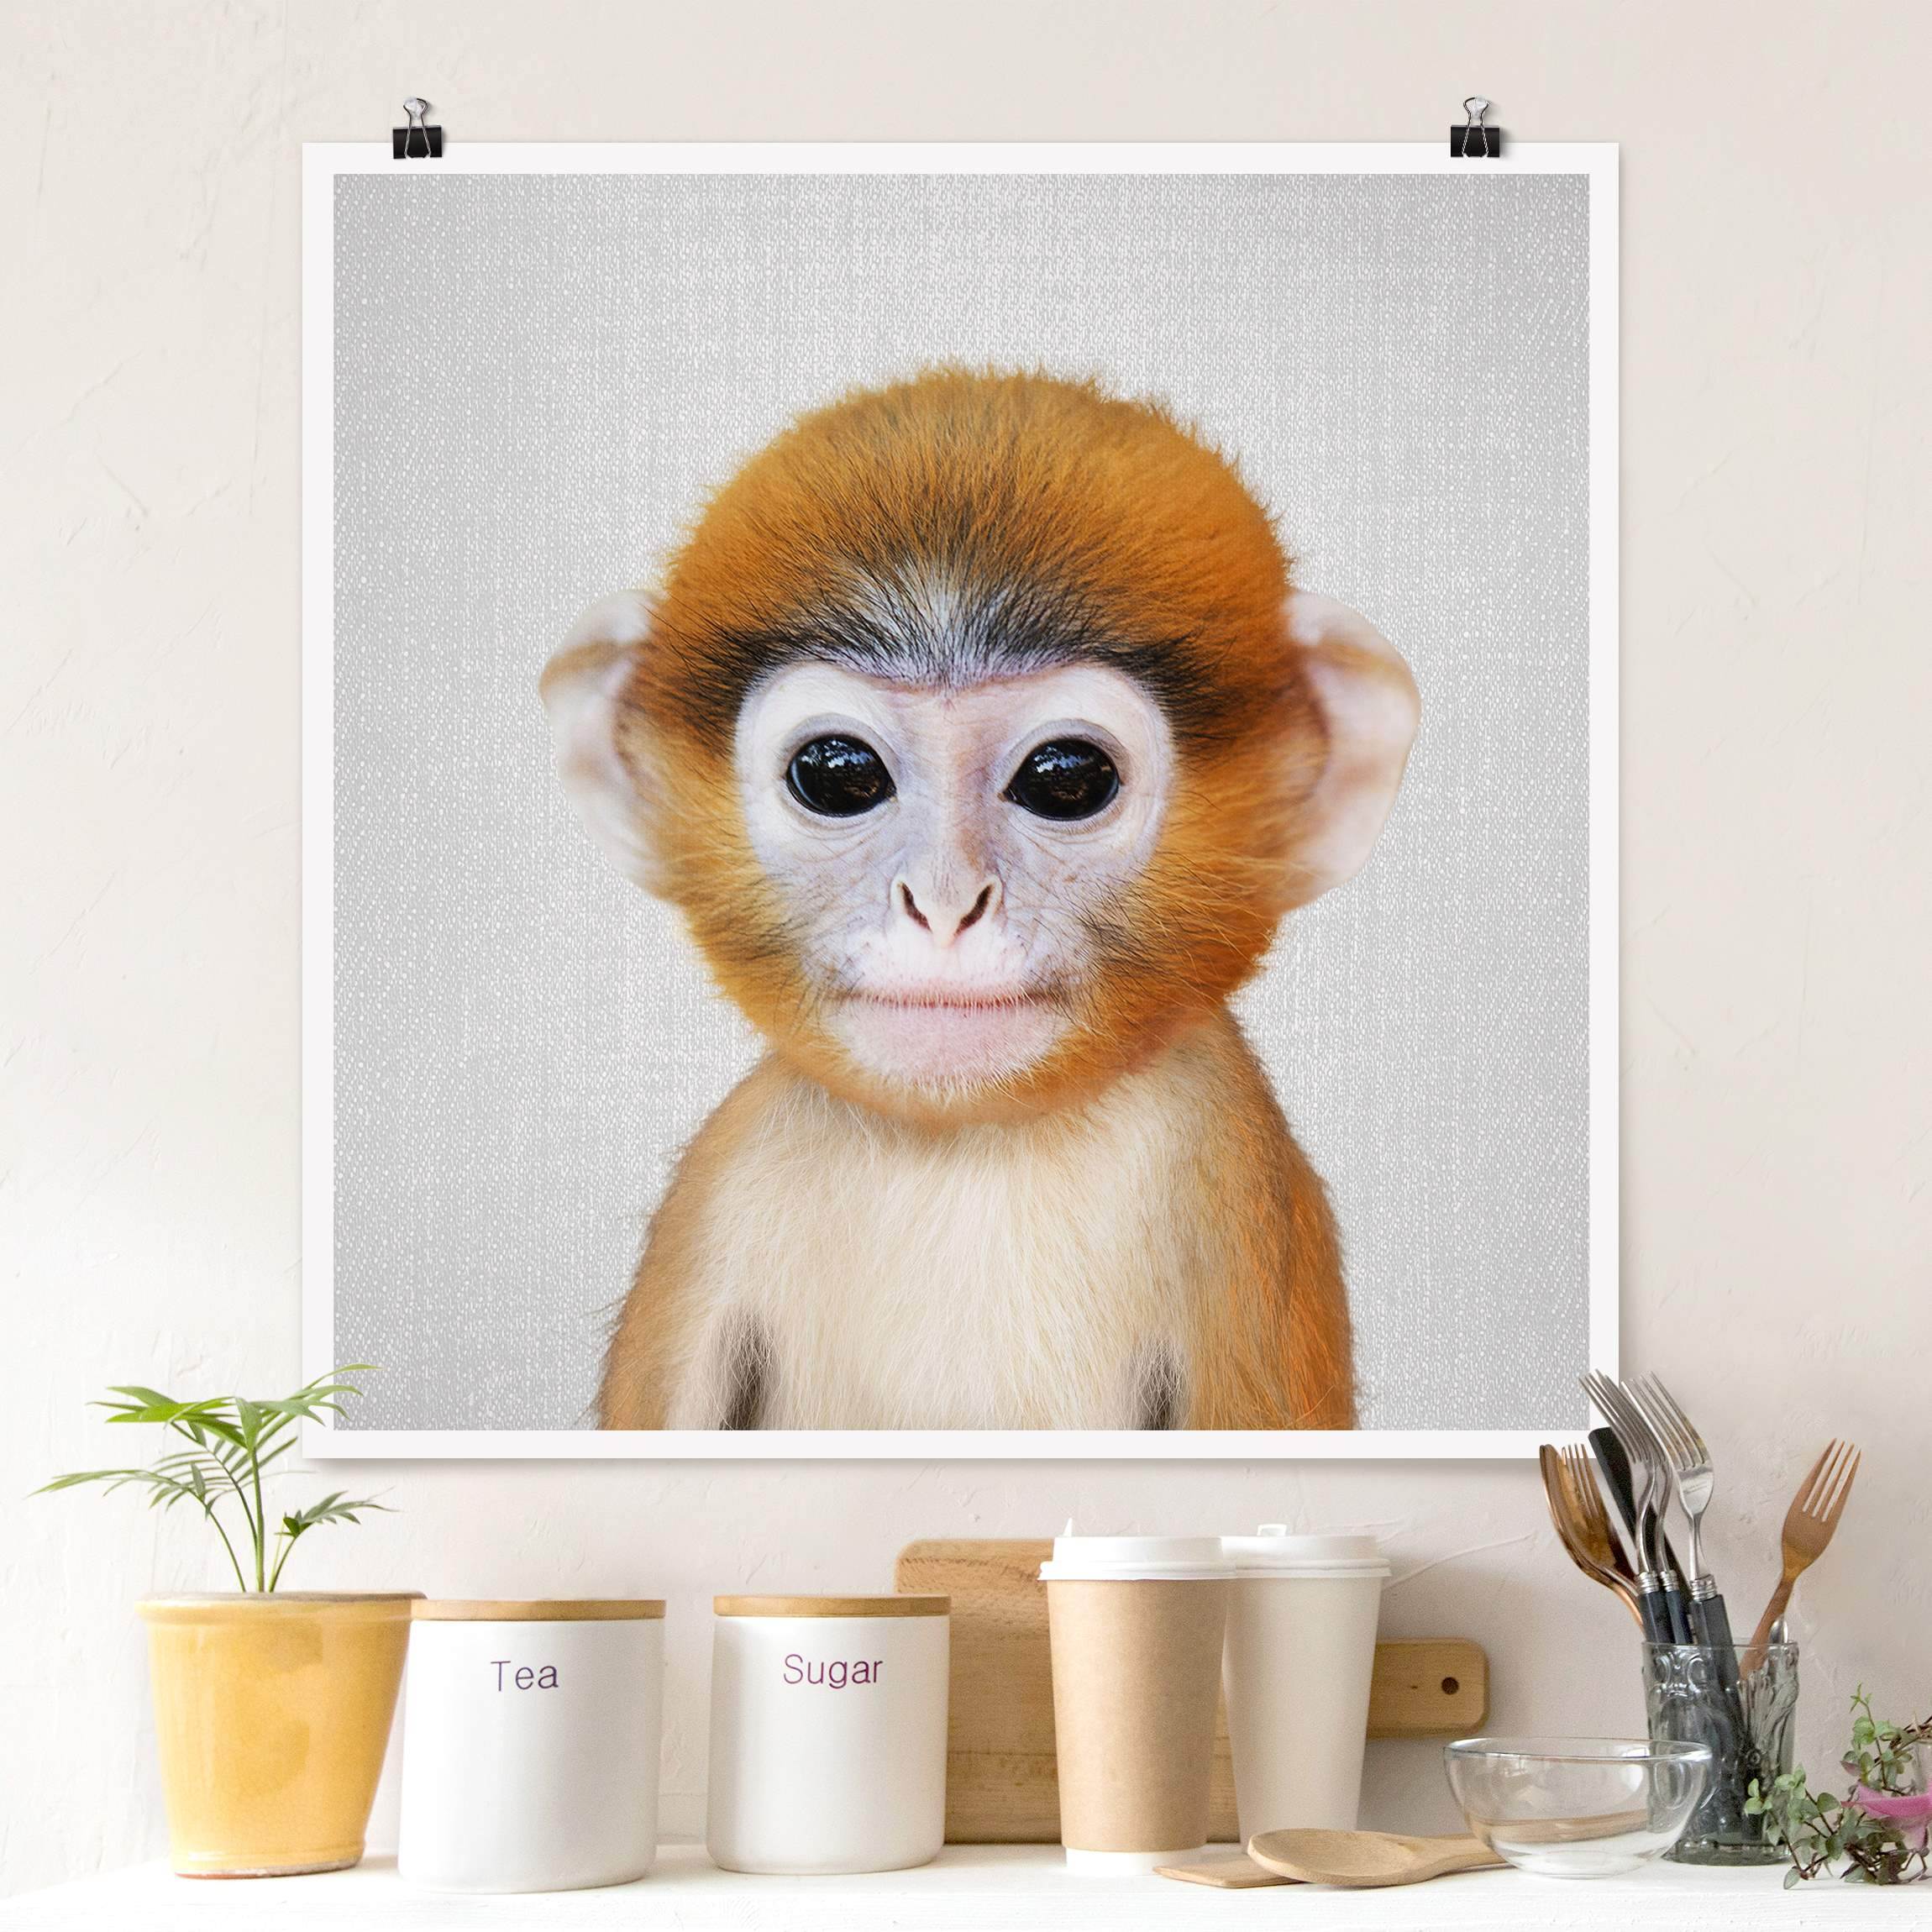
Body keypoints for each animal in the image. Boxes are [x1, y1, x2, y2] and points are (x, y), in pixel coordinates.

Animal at [541, 369, 1419, 1431]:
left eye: (1066, 779)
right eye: (836, 773)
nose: (945, 903)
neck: (967, 1147)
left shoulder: (1232, 1189)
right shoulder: (715, 1199)